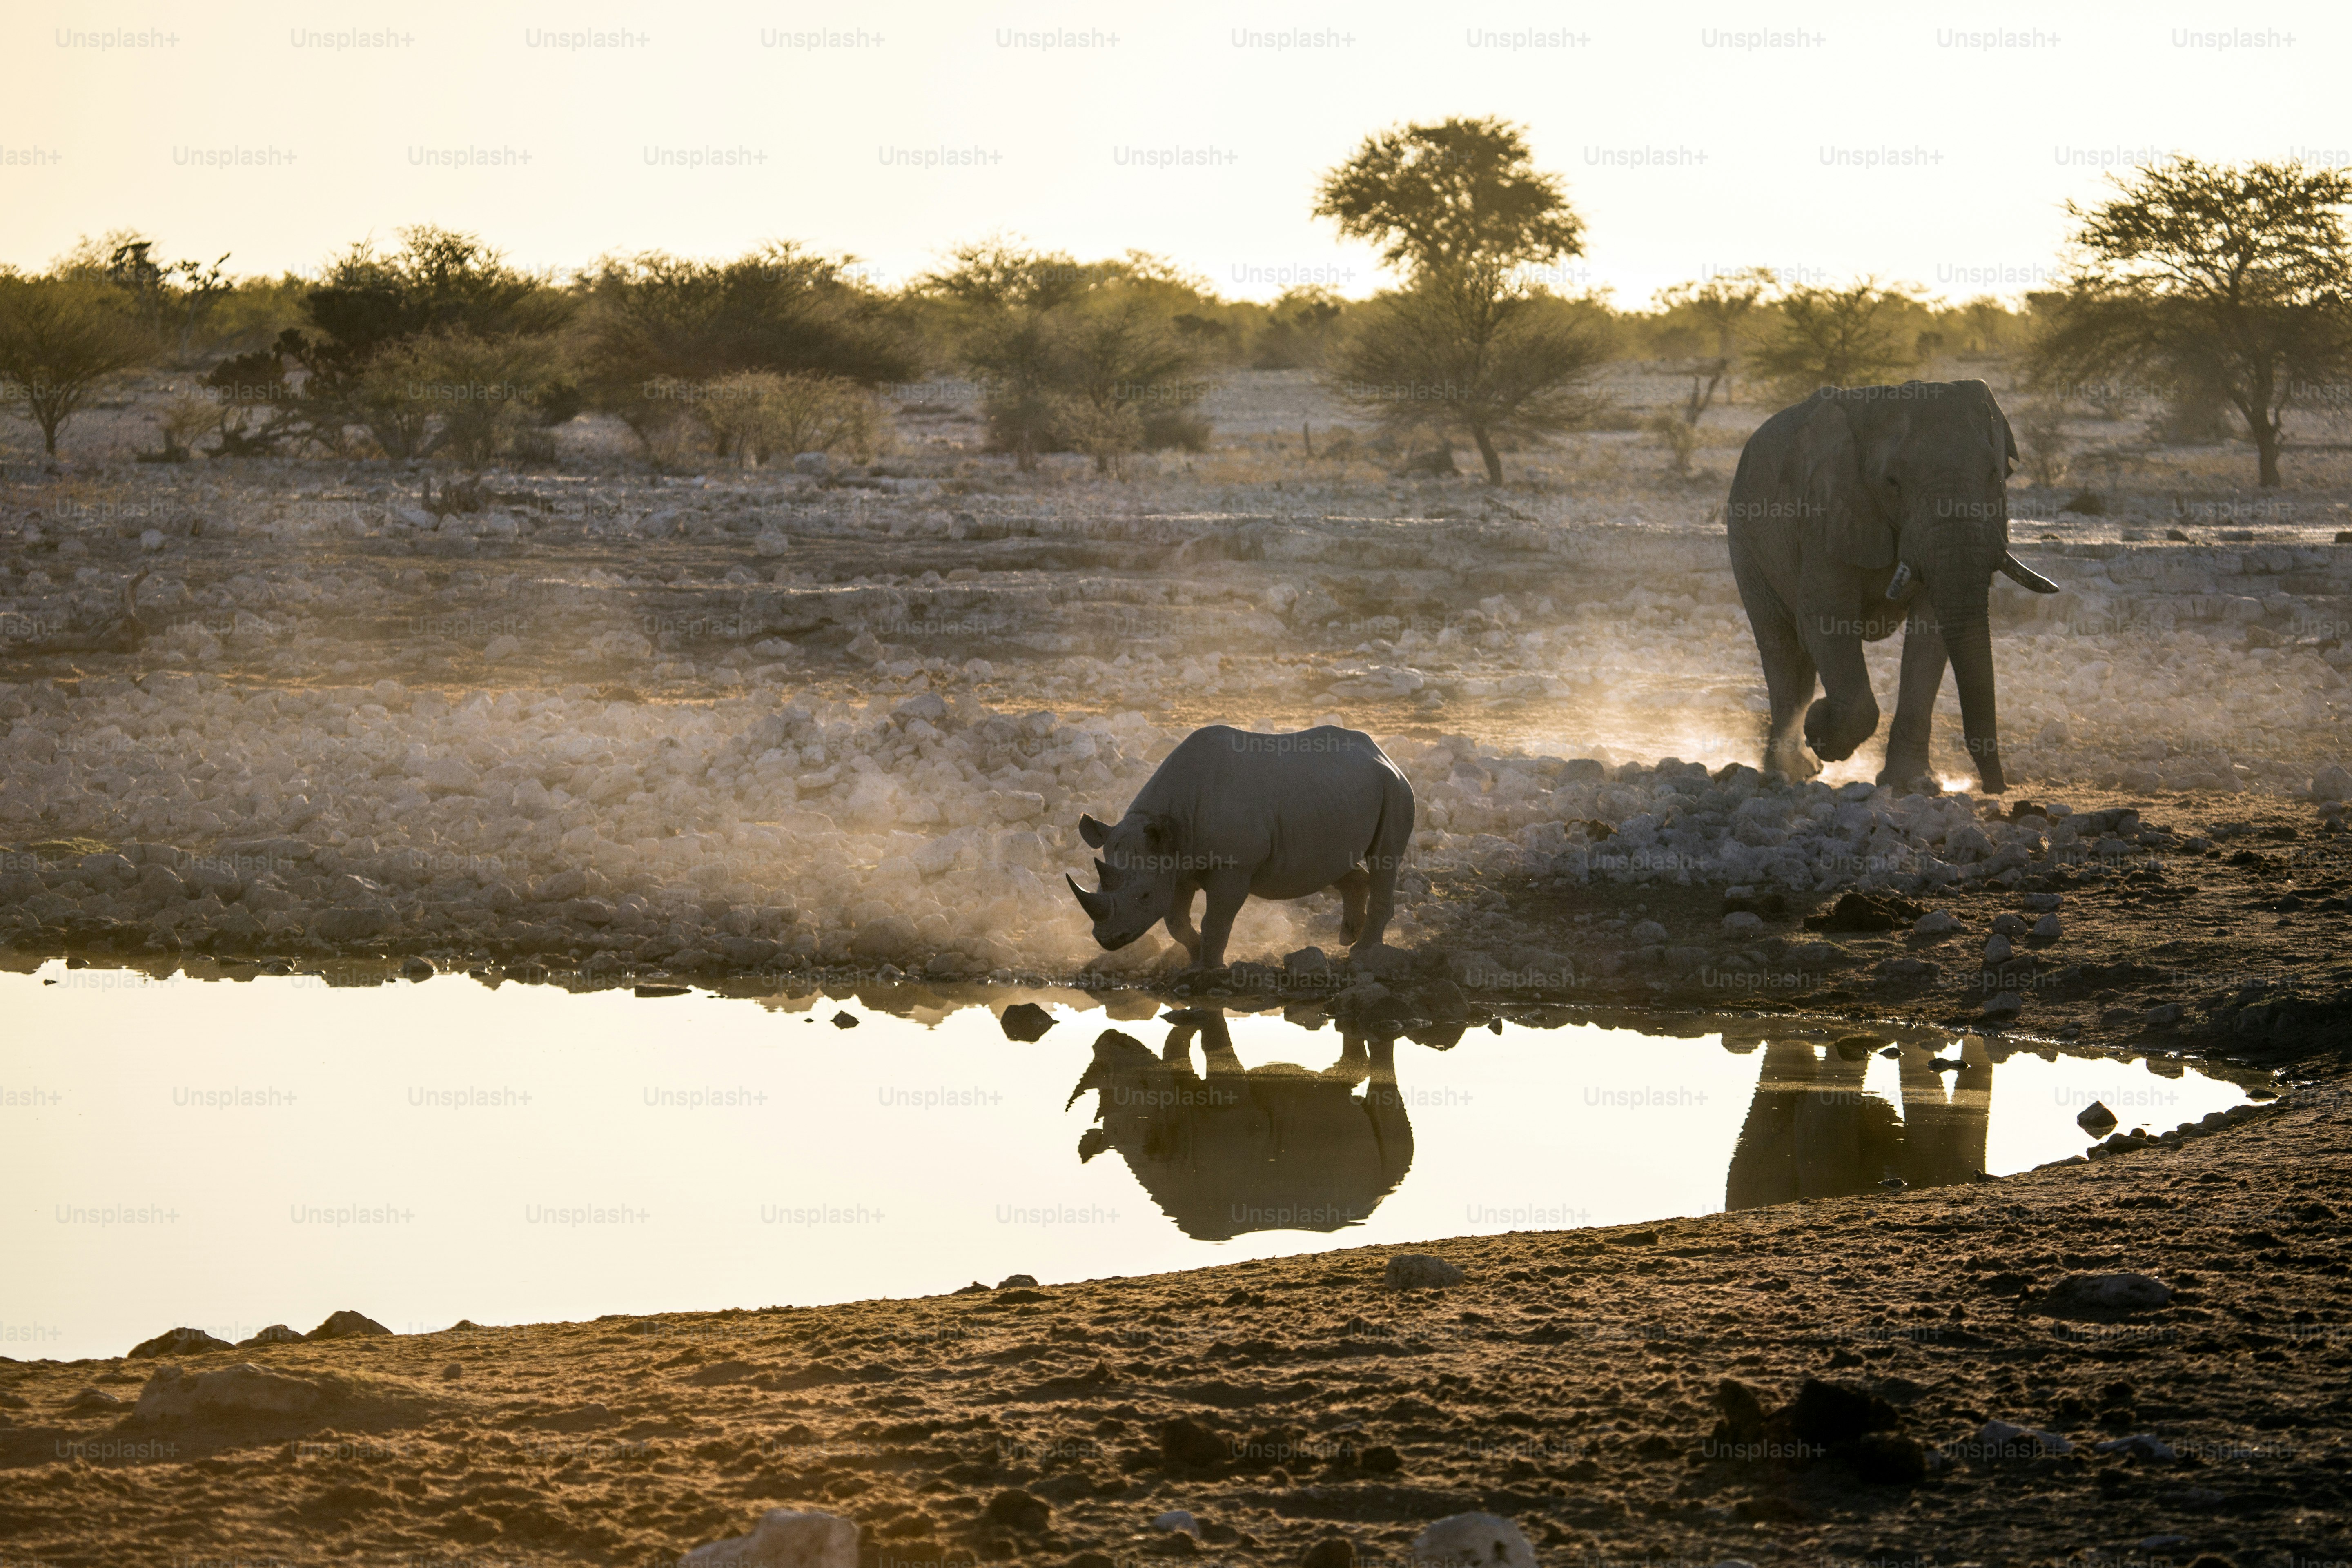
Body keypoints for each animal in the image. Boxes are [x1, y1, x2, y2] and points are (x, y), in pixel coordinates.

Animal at [1064, 1010, 1414, 1240]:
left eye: (1144, 1082)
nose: (1108, 1037)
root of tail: (1375, 1202)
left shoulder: (1235, 1106)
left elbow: (1204, 1052)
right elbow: (1175, 1052)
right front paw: (1184, 1021)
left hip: (1378, 1173)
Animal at [1725, 380, 2059, 795]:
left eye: (1993, 474)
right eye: (1893, 483)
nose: (1995, 788)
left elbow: (1930, 635)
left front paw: (1912, 783)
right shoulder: (1825, 513)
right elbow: (1825, 620)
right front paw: (1821, 727)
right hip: (1746, 544)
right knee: (1782, 649)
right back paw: (1789, 770)